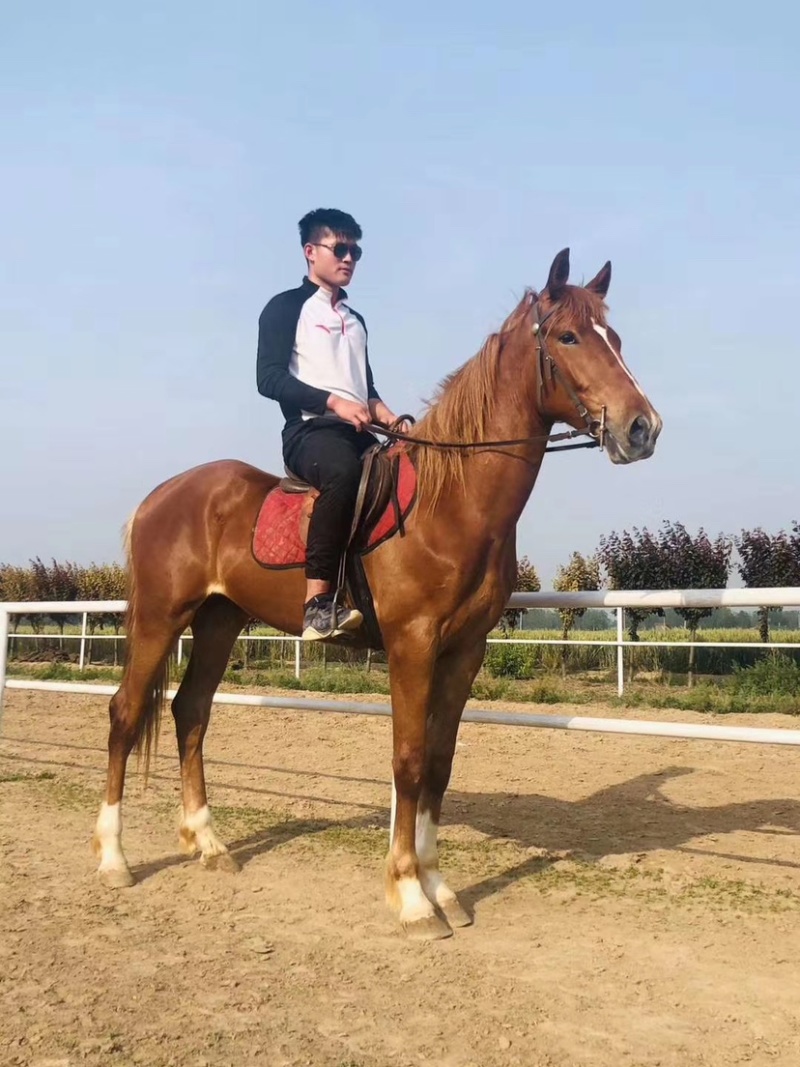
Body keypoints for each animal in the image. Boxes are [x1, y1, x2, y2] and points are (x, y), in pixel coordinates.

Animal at [92, 248, 661, 940]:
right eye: (570, 337)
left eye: (616, 338)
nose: (643, 427)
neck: (452, 501)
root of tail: (159, 496)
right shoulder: (412, 643)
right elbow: (409, 761)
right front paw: (411, 897)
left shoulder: (465, 650)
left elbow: (440, 763)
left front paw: (441, 887)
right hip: (159, 617)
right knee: (125, 715)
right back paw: (114, 858)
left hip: (220, 621)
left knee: (190, 713)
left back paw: (209, 844)